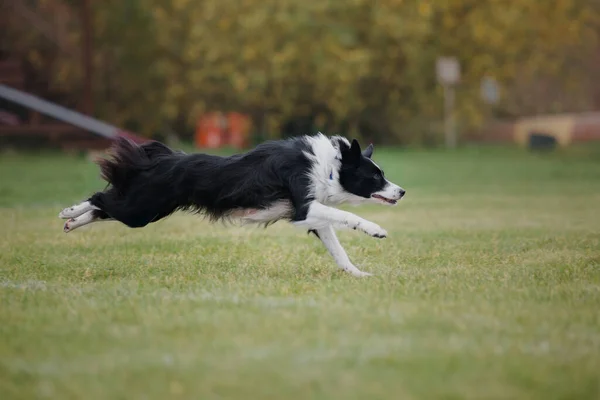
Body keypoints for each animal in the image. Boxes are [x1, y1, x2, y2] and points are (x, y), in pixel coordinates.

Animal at [58, 133, 406, 276]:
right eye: (375, 177)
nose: (402, 192)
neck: (330, 166)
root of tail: (162, 159)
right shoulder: (303, 208)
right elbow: (344, 214)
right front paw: (376, 229)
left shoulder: (311, 216)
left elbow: (337, 249)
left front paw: (357, 274)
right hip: (142, 210)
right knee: (101, 198)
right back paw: (68, 213)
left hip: (147, 209)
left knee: (104, 206)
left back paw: (72, 221)